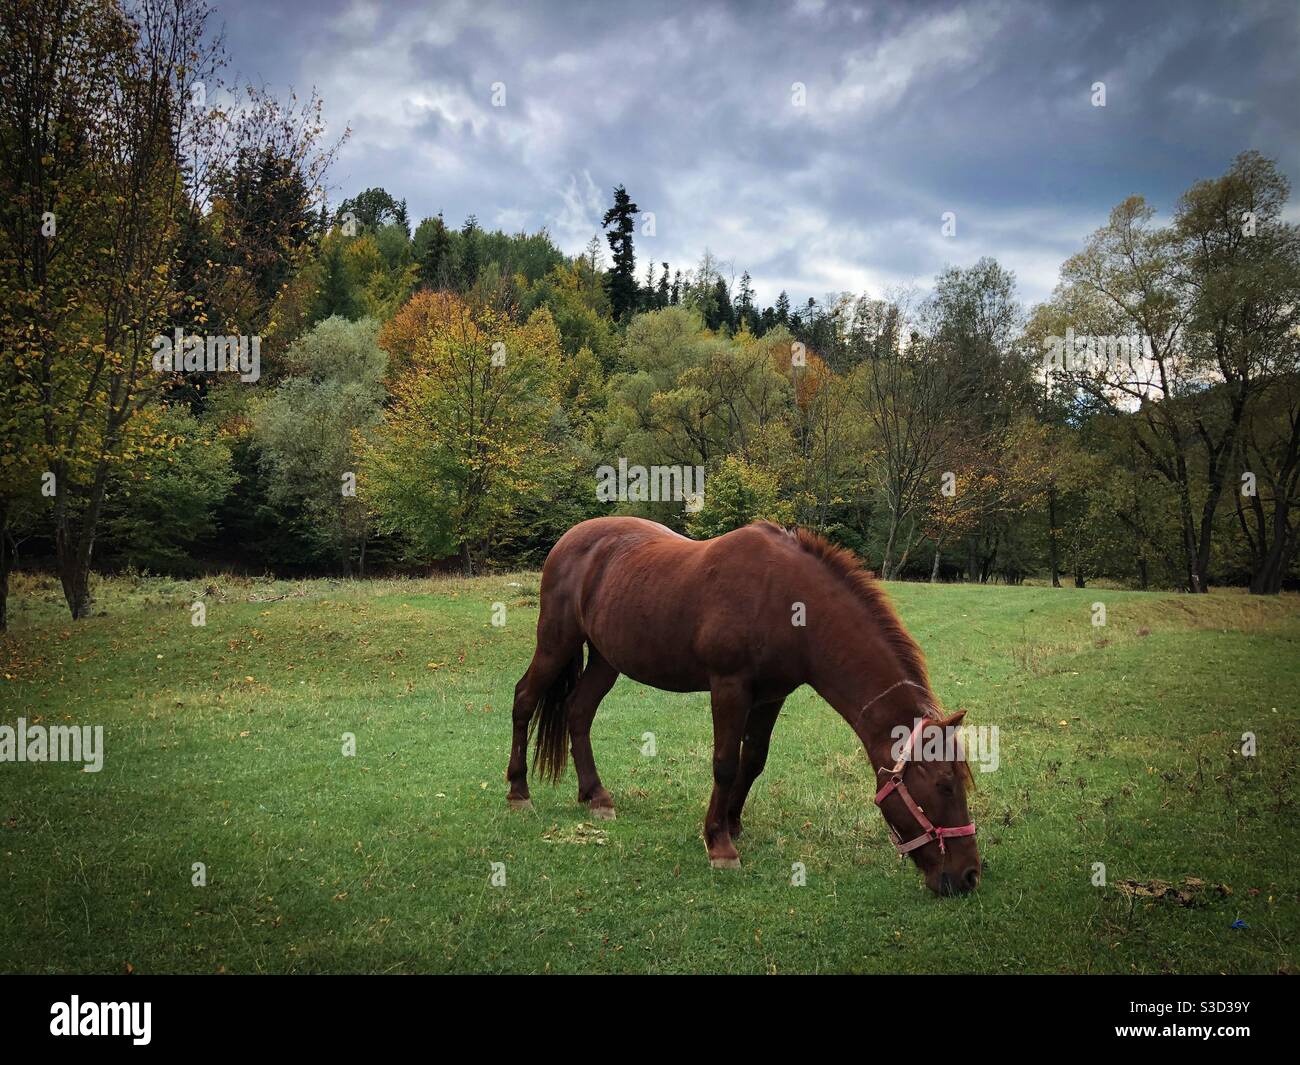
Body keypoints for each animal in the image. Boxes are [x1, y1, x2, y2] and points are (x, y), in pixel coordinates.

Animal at [505, 516, 980, 896]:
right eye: (944, 785)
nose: (970, 875)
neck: (788, 601)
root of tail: (571, 539)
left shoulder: (771, 695)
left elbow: (752, 760)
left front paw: (732, 822)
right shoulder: (729, 687)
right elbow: (725, 763)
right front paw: (719, 843)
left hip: (607, 659)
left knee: (578, 712)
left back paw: (595, 795)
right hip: (556, 641)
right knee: (524, 699)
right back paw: (518, 792)